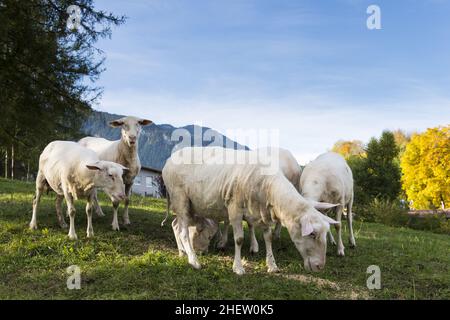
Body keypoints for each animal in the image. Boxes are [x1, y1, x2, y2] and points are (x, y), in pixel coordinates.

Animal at [162, 146, 338, 274]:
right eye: (313, 234)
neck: (267, 184)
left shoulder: (263, 211)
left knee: (176, 226)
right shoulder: (234, 209)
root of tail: (169, 159)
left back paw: (182, 252)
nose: (320, 267)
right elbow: (239, 239)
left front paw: (272, 265)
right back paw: (193, 261)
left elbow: (268, 237)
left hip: (190, 205)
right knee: (183, 231)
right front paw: (238, 268)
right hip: (180, 199)